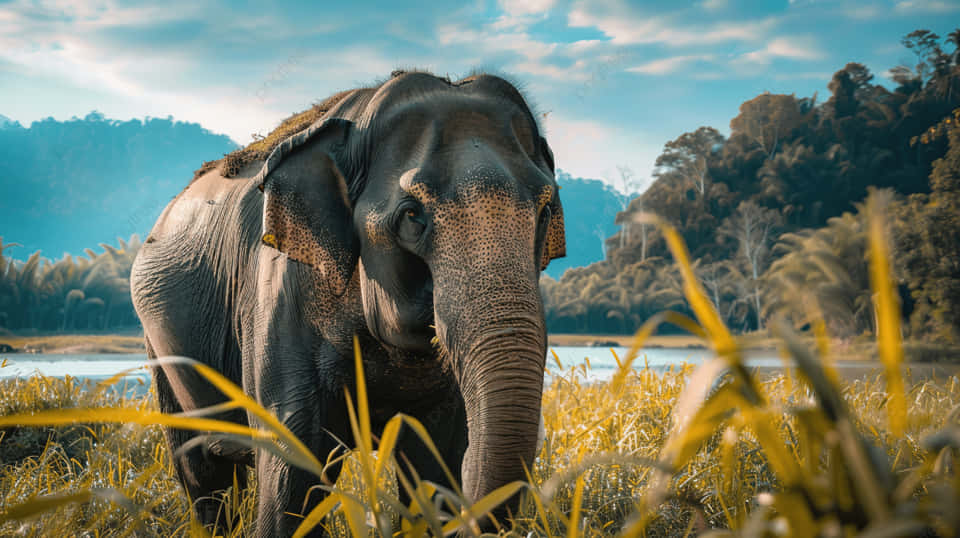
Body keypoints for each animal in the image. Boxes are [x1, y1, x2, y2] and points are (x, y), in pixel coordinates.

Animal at [130, 70, 565, 536]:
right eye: (412, 215)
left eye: (544, 211)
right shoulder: (279, 293)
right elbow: (295, 464)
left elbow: (435, 460)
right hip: (159, 345)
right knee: (201, 469)